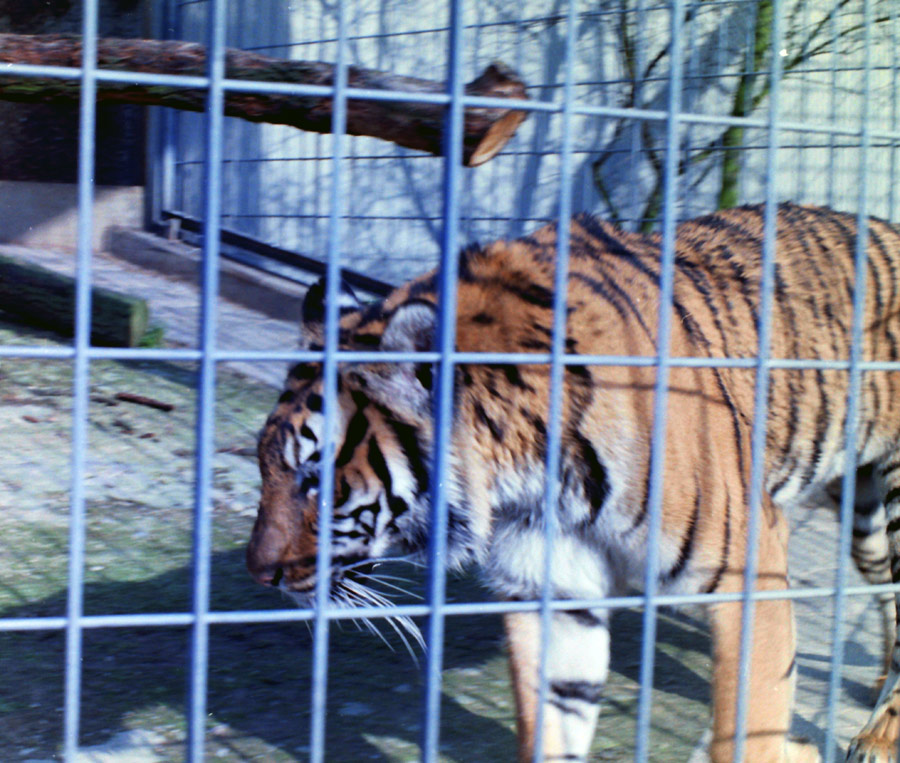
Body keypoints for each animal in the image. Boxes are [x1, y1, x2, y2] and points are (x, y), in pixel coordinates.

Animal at [248, 204, 900, 763]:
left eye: (314, 479)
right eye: (264, 465)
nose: (260, 573)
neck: (533, 476)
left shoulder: (751, 568)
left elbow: (750, 723)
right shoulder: (553, 584)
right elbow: (553, 717)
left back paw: (878, 736)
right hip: (863, 517)